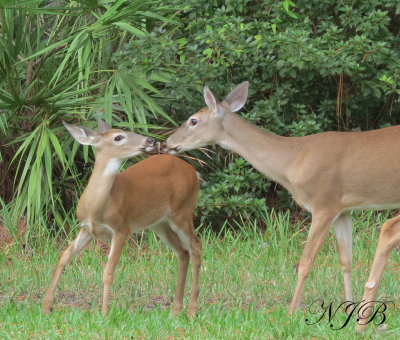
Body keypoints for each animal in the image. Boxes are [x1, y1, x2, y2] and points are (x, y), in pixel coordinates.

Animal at [42, 121, 202, 318]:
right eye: (118, 137)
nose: (150, 140)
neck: (98, 206)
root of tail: (194, 172)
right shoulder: (86, 229)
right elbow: (64, 256)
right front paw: (46, 306)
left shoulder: (121, 228)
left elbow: (108, 271)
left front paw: (104, 313)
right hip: (160, 223)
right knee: (182, 252)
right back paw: (176, 309)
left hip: (182, 211)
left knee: (195, 246)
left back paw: (192, 310)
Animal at [160, 81, 400, 330]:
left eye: (193, 121)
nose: (166, 143)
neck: (292, 161)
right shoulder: (343, 209)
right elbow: (346, 260)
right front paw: (348, 311)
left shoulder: (323, 203)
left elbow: (305, 263)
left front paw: (291, 314)